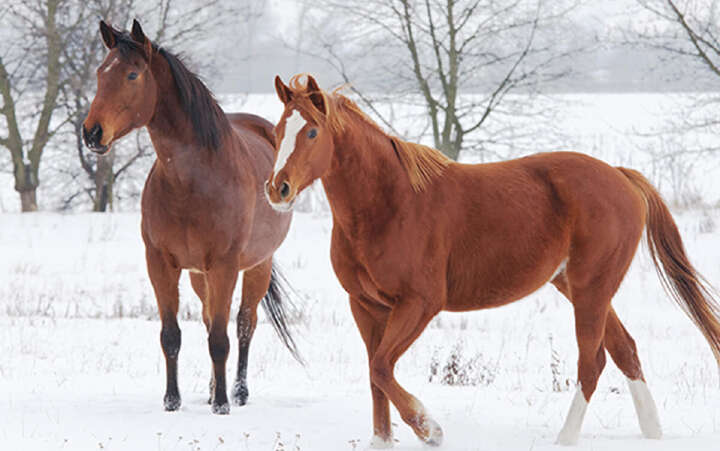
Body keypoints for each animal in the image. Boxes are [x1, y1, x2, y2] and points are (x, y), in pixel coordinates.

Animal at [82, 20, 300, 415]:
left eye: (133, 74)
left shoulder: (225, 266)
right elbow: (172, 335)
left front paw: (222, 405)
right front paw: (173, 400)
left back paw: (238, 392)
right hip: (201, 275)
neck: (194, 181)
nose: (91, 132)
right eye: (100, 72)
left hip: (256, 266)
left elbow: (221, 338)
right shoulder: (161, 263)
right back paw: (213, 388)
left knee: (244, 324)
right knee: (210, 318)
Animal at [264, 74, 720, 447]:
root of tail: (622, 176)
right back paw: (653, 432)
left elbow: (381, 367)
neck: (390, 205)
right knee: (625, 351)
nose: (277, 189)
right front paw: (384, 440)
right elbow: (376, 375)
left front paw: (430, 429)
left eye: (311, 131)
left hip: (592, 288)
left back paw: (565, 439)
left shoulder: (419, 304)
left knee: (592, 363)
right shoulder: (365, 306)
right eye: (278, 130)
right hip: (579, 287)